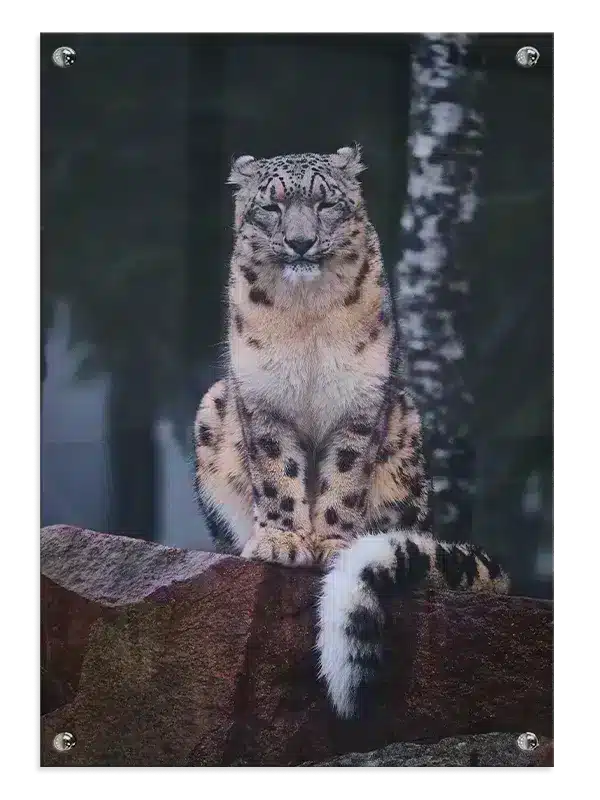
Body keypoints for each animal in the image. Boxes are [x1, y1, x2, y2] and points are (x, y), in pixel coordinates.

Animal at [193, 145, 509, 718]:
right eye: (271, 206)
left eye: (325, 203)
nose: (300, 242)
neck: (306, 318)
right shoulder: (264, 401)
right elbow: (276, 472)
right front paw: (282, 540)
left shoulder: (359, 405)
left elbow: (344, 477)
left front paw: (332, 543)